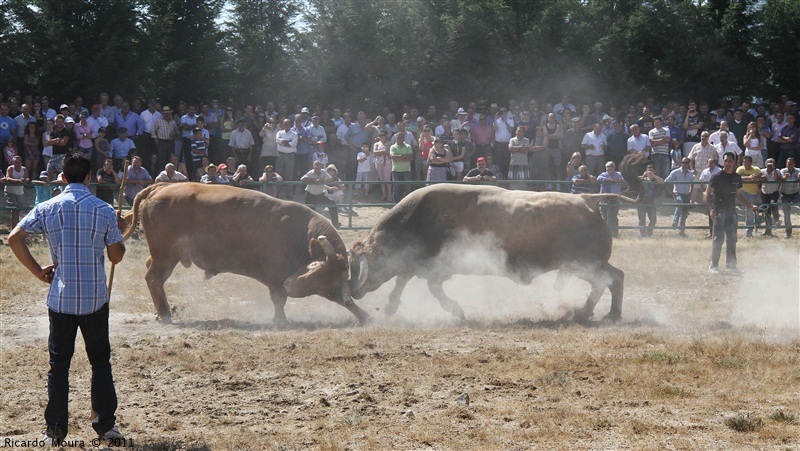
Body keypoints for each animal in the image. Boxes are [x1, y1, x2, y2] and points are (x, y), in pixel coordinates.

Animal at [119, 183, 369, 325]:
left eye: (324, 277)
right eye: (316, 269)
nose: (292, 285)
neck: (301, 234)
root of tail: (160, 188)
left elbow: (343, 300)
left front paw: (364, 315)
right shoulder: (276, 275)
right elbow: (279, 298)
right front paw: (281, 320)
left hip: (162, 256)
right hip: (165, 256)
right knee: (154, 278)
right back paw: (165, 314)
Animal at [348, 183, 638, 322]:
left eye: (362, 265)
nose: (352, 291)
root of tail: (588, 200)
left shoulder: (435, 269)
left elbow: (431, 288)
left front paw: (457, 311)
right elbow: (402, 281)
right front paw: (389, 308)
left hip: (585, 264)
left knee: (611, 279)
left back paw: (598, 313)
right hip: (585, 265)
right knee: (612, 279)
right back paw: (597, 313)